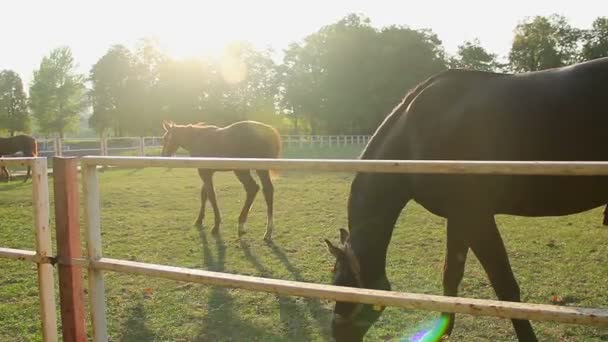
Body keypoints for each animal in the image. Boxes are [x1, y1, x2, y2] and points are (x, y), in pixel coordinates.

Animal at [324, 57, 608, 340]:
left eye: (340, 281)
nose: (337, 333)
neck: (415, 135)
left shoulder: (476, 216)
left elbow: (505, 286)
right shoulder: (458, 217)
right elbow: (452, 273)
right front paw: (442, 329)